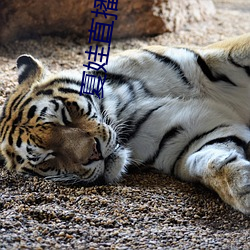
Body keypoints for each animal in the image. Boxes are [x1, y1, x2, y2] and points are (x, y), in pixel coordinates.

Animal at [0, 33, 250, 214]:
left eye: (65, 115)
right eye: (48, 158)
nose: (95, 153)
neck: (124, 105)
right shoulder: (187, 137)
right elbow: (211, 161)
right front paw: (243, 188)